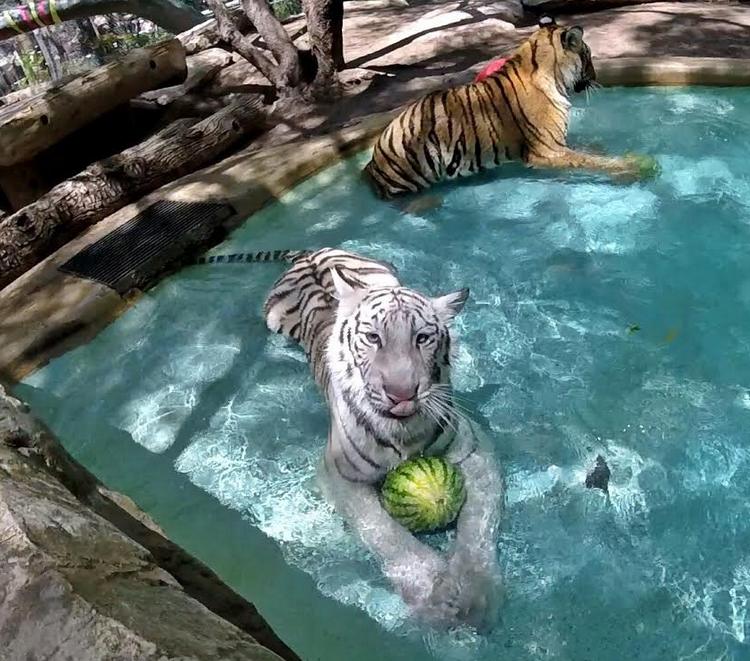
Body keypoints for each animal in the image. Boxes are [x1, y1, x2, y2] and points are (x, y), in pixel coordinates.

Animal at [260, 247, 504, 629]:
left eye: (422, 338)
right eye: (373, 338)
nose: (401, 393)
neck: (405, 433)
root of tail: (311, 253)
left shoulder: (476, 453)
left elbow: (477, 528)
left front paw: (478, 595)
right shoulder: (339, 475)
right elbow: (383, 532)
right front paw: (433, 592)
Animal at [364, 16, 651, 198]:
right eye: (588, 55)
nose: (596, 76)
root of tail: (374, 158)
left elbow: (588, 153)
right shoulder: (547, 151)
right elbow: (589, 161)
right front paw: (632, 166)